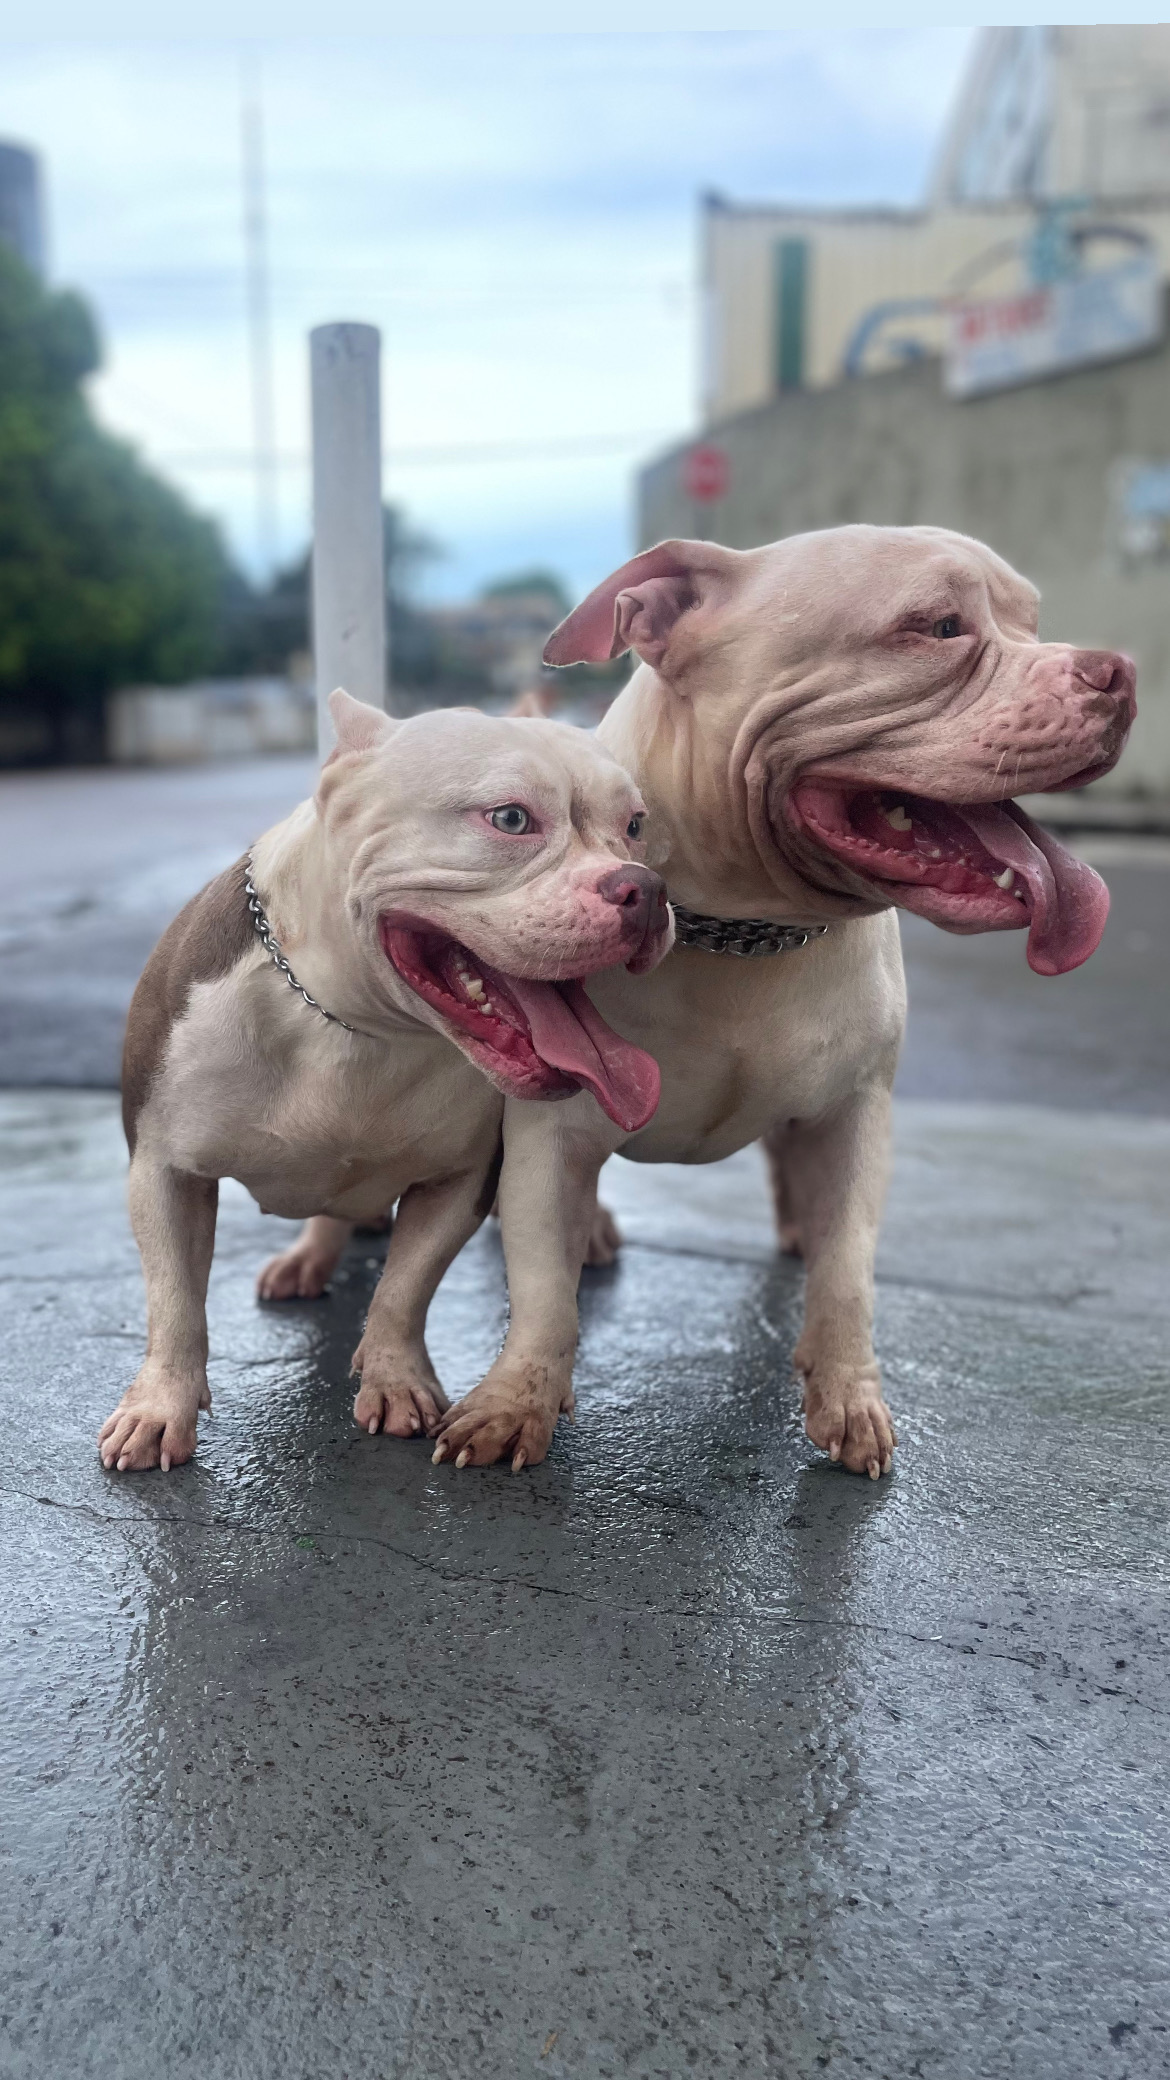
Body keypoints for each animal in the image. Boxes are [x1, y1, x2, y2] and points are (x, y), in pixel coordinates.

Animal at [97, 698, 674, 1480]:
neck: (354, 1024)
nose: (644, 888)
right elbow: (175, 1302)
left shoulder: (460, 1180)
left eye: (636, 825)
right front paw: (161, 1408)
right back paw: (309, 1257)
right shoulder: (164, 1169)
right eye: (511, 818)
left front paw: (396, 1379)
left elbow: (405, 1288)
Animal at [428, 528, 1132, 1489]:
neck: (745, 930)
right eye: (938, 627)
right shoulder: (554, 1131)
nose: (1119, 671)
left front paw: (849, 1396)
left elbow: (848, 1271)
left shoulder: (854, 1114)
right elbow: (544, 1288)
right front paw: (515, 1401)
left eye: (1032, 619)